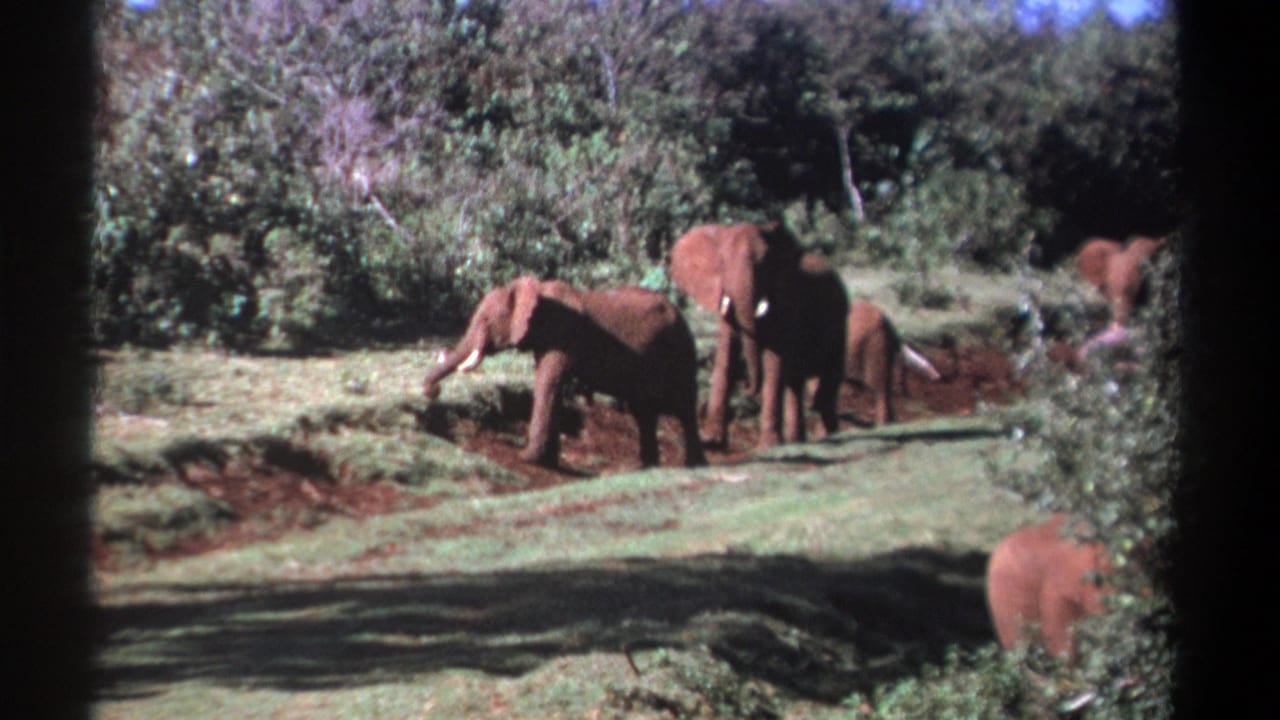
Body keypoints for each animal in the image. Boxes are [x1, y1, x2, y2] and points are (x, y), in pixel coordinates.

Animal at [423, 276, 707, 469]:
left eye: (485, 321)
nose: (430, 391)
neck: (537, 291)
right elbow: (553, 387)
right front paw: (548, 461)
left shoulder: (564, 334)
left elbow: (547, 382)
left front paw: (526, 458)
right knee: (644, 410)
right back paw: (646, 467)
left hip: (680, 347)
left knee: (683, 405)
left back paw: (694, 466)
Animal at [669, 222, 849, 449]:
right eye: (722, 262)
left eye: (762, 265)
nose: (747, 387)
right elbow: (726, 359)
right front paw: (711, 440)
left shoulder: (786, 302)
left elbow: (774, 362)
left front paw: (768, 447)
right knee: (796, 382)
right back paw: (798, 441)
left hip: (840, 323)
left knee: (825, 380)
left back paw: (827, 436)